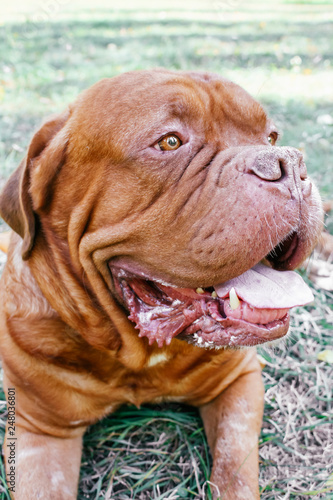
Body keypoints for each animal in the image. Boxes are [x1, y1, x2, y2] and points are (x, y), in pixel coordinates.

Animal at [0, 71, 322, 500]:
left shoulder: (240, 382)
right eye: (169, 141)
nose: (288, 161)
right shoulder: (38, 432)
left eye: (270, 137)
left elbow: (234, 469)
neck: (136, 356)